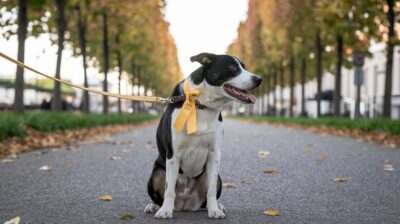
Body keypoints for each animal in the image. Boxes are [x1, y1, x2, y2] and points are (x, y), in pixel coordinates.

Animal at [144, 52, 262, 219]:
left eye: (244, 67)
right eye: (233, 68)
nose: (259, 79)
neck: (201, 105)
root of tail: (184, 205)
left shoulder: (214, 154)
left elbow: (211, 190)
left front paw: (214, 210)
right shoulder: (173, 155)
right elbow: (169, 189)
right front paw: (165, 210)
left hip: (217, 178)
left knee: (205, 199)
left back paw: (216, 206)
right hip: (157, 173)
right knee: (160, 195)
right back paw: (154, 206)